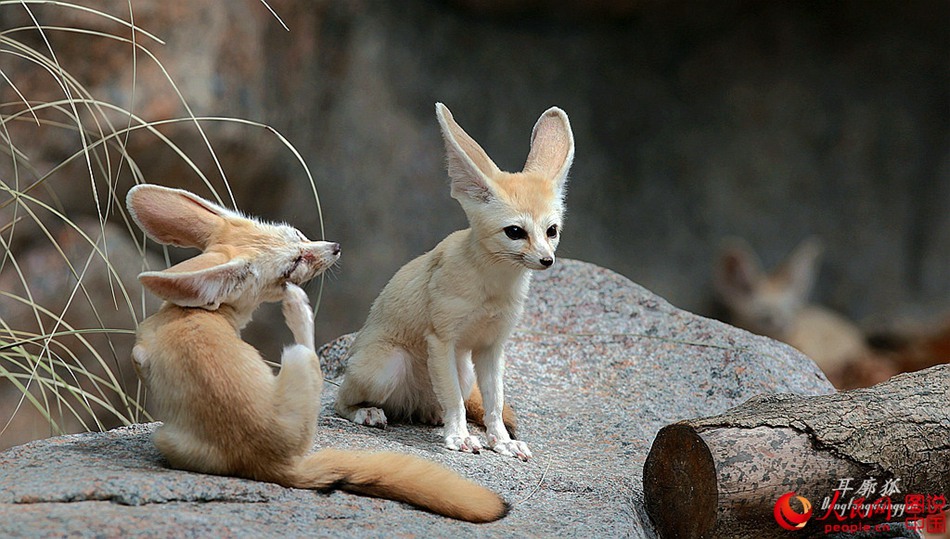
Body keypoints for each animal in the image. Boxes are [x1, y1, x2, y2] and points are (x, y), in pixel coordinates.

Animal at [335, 103, 574, 460]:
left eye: (552, 231)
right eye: (515, 232)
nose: (547, 260)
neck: (492, 290)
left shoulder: (492, 347)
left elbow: (493, 402)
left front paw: (502, 441)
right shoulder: (442, 339)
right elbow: (456, 403)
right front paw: (460, 437)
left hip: (462, 371)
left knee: (434, 405)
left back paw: (432, 416)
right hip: (386, 366)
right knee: (339, 401)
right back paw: (368, 412)